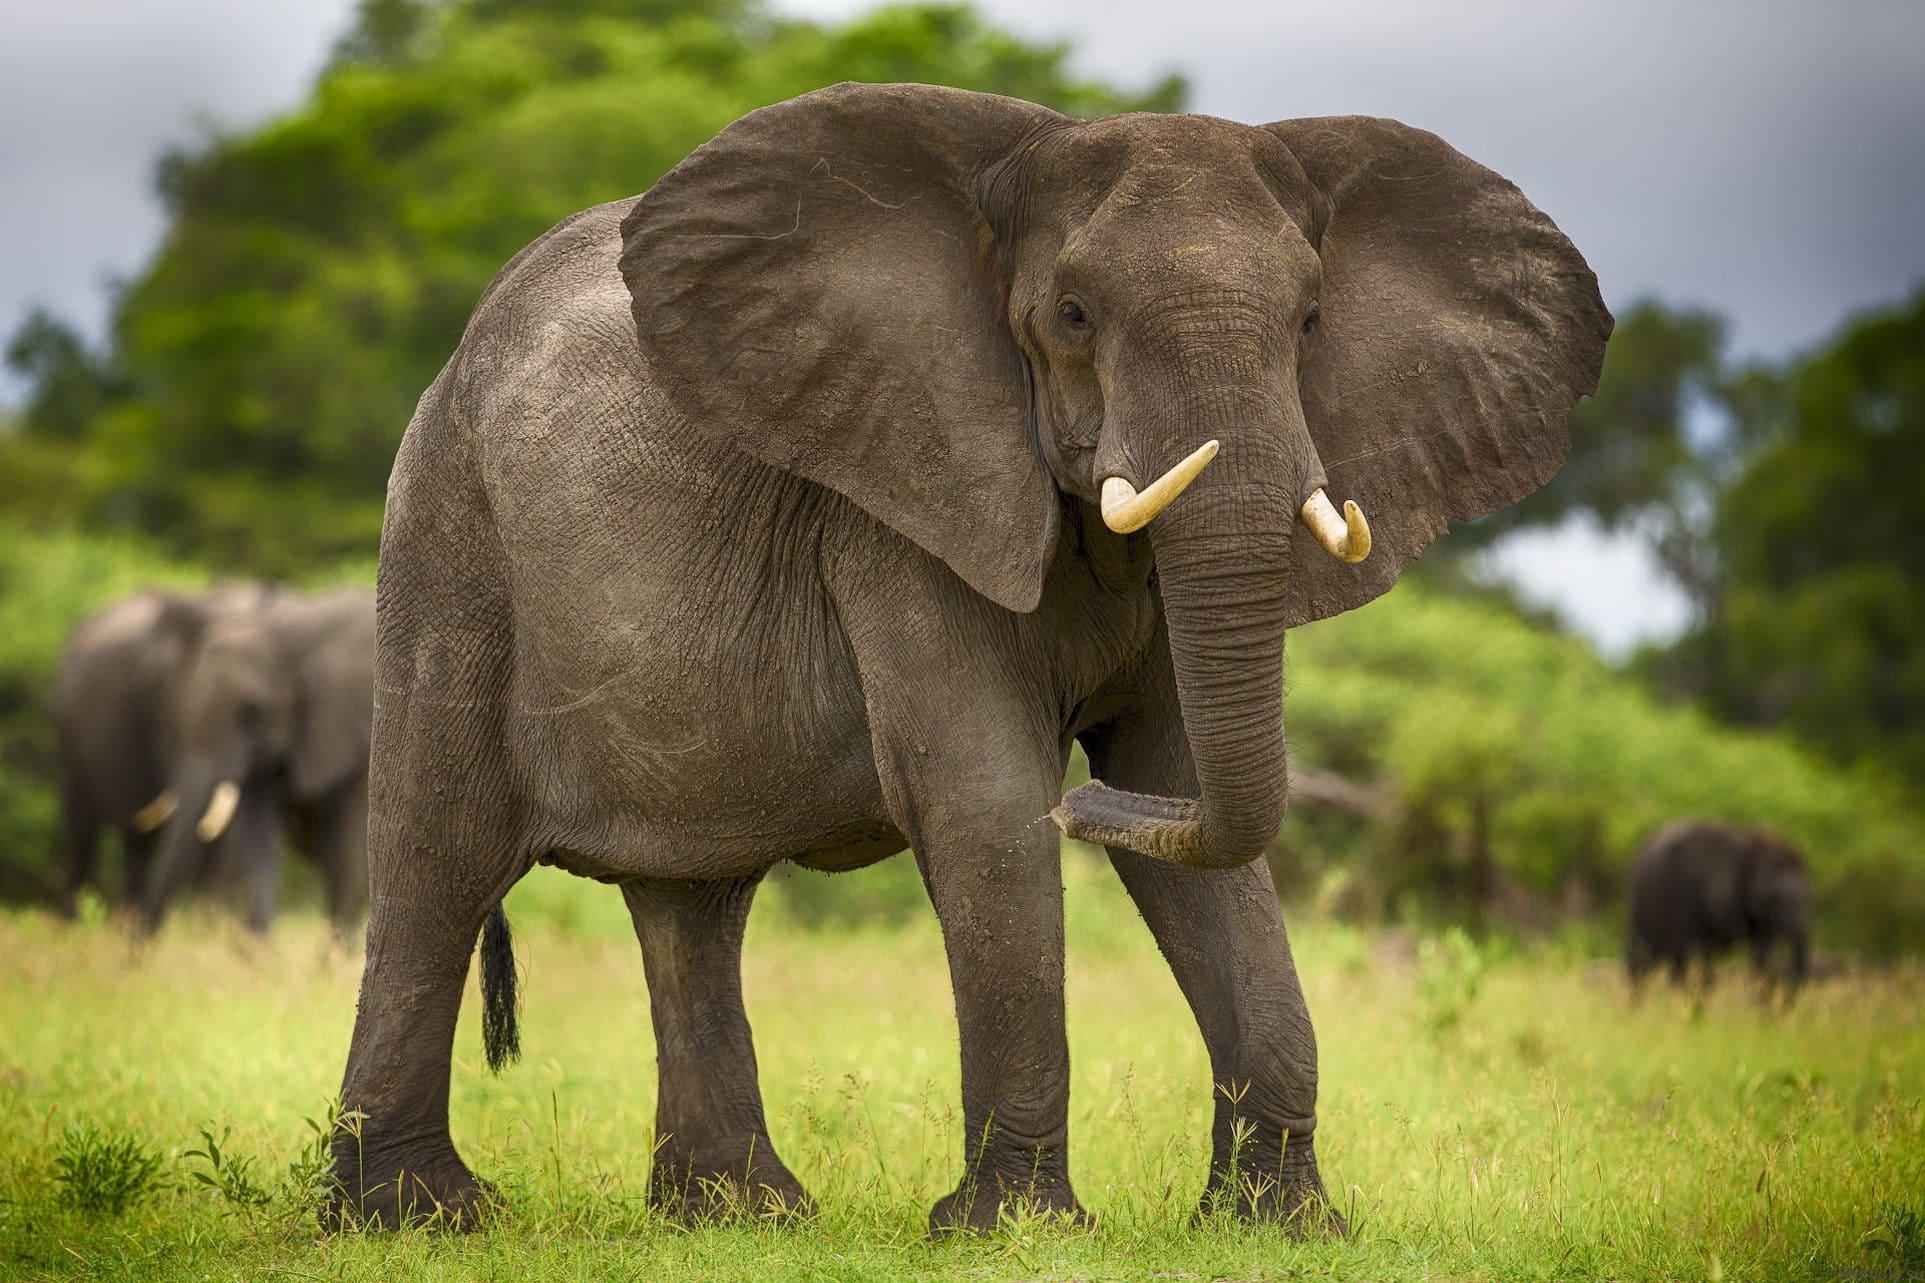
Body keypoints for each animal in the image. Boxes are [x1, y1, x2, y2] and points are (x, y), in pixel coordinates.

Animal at [139, 588, 376, 935]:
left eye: (252, 713)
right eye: (182, 709)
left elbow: (350, 851)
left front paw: (334, 950)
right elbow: (258, 839)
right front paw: (261, 948)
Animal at [329, 83, 1608, 1232]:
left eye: (1305, 322)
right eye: (1073, 314)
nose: (1084, 800)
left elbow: (1188, 788)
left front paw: (1280, 1225)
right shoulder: (900, 497)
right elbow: (986, 805)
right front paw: (1017, 1228)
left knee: (693, 898)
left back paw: (738, 1215)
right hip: (446, 531)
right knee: (438, 855)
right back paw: (414, 1216)